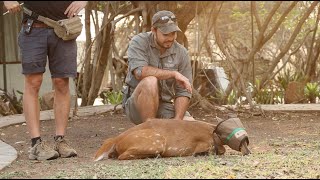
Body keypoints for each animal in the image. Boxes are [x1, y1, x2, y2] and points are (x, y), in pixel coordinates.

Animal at [94, 116, 251, 161]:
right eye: (241, 140)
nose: (248, 152)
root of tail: (116, 139)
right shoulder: (205, 144)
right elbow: (221, 150)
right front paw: (201, 153)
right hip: (157, 142)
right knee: (122, 156)